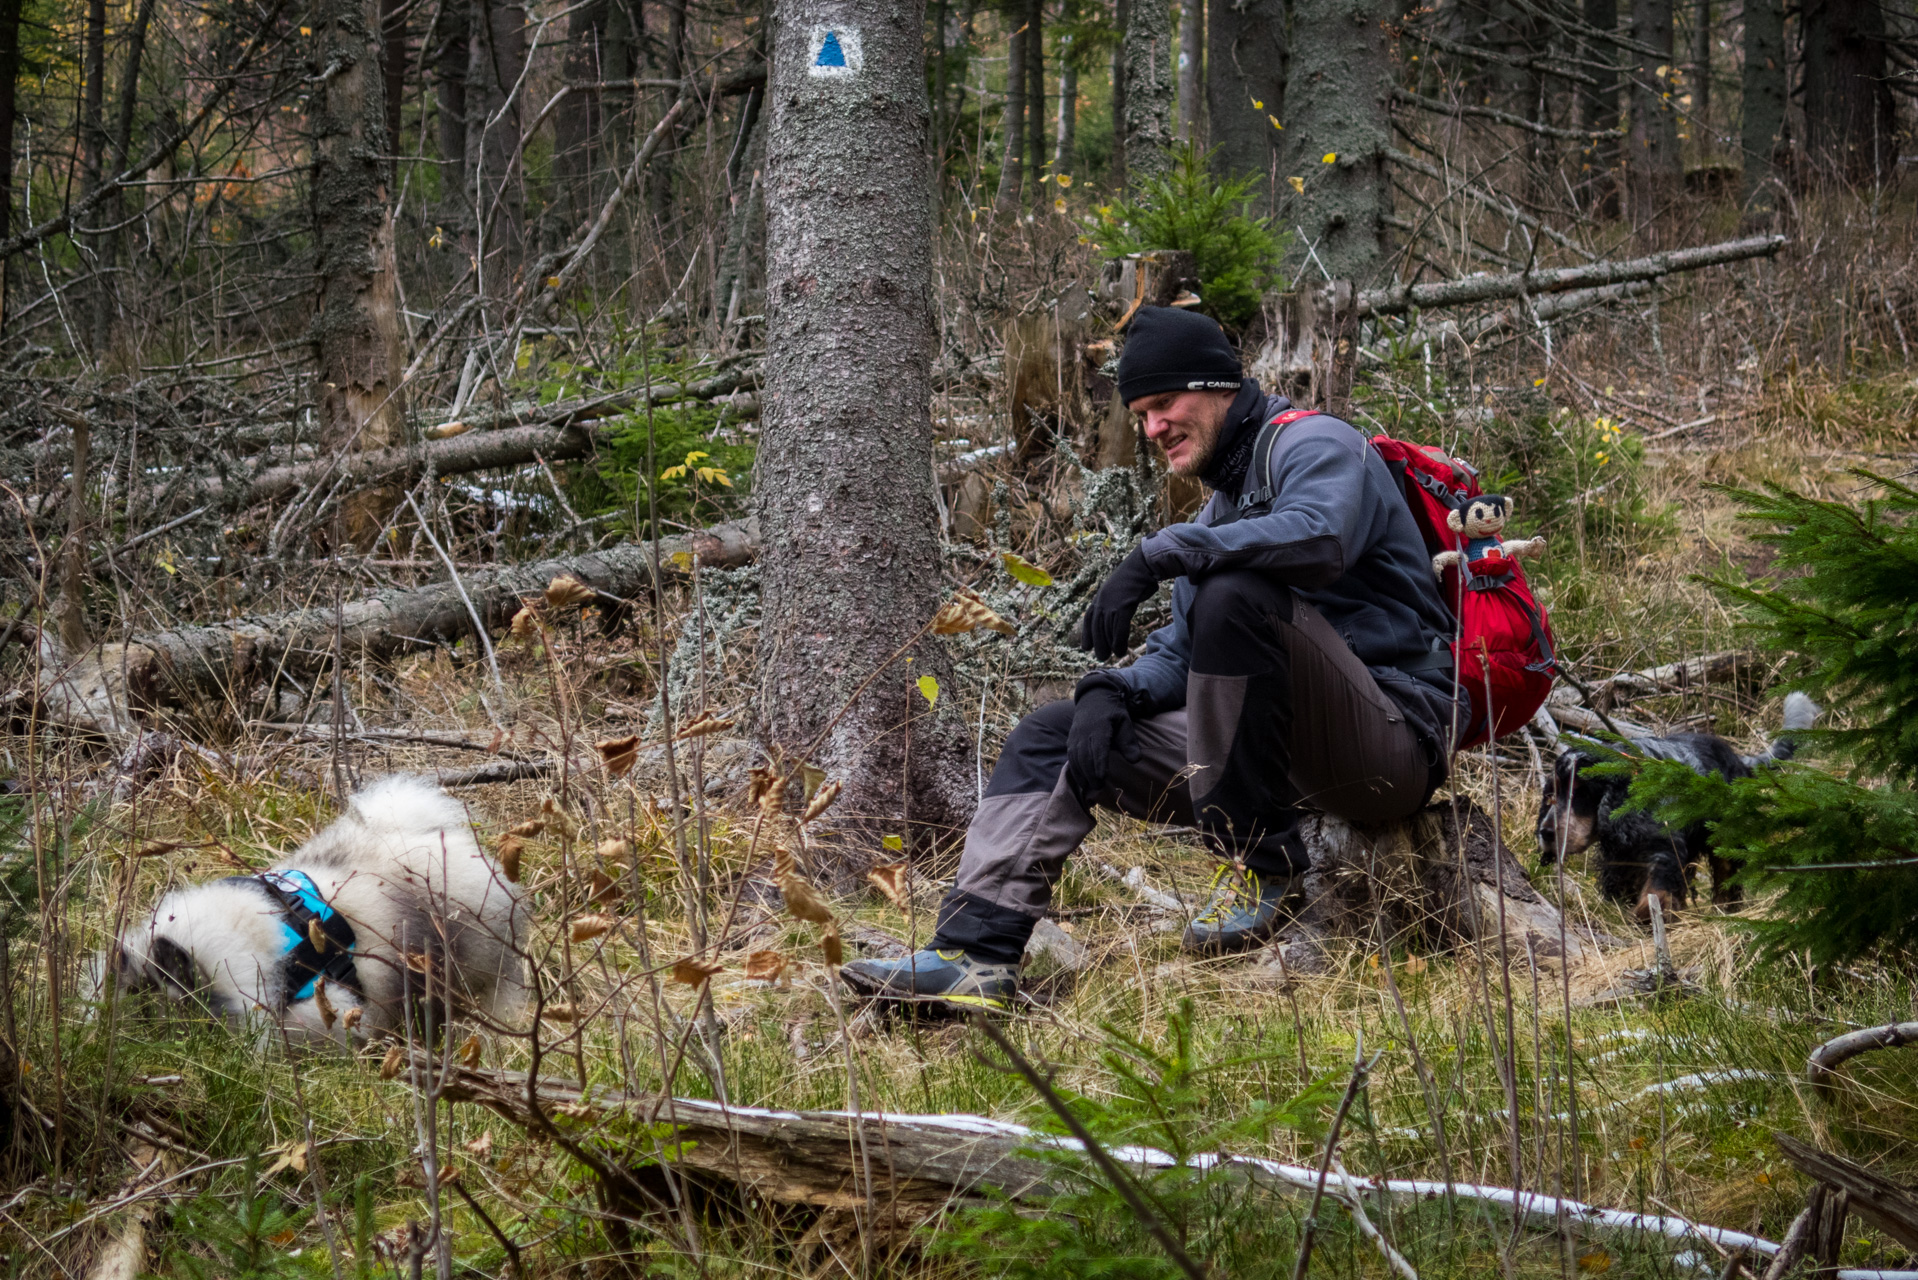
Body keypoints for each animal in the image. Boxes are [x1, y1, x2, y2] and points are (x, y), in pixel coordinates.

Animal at [1534, 694, 1818, 924]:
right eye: (1550, 796)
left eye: (1580, 793)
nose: (1545, 833)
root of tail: (1738, 759)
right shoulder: (1619, 859)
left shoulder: (1664, 849)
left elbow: (1657, 890)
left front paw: (1649, 917)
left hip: (1723, 836)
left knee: (1726, 877)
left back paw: (1724, 910)